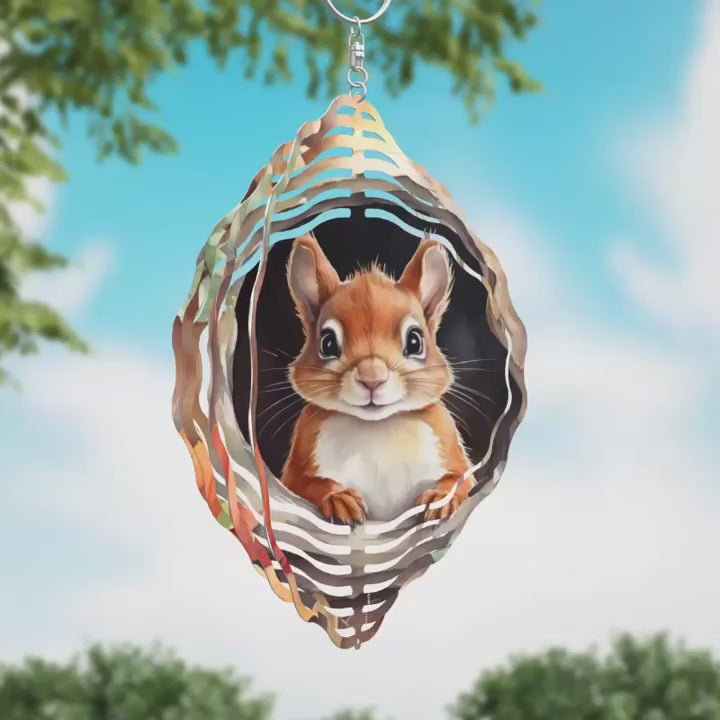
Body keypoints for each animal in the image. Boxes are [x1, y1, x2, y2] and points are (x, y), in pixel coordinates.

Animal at [280, 232, 473, 525]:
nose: (372, 378)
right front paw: (339, 498)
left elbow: (459, 478)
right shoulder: (297, 468)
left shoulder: (450, 450)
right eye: (327, 343)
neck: (375, 427)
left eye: (415, 341)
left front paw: (440, 498)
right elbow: (311, 484)